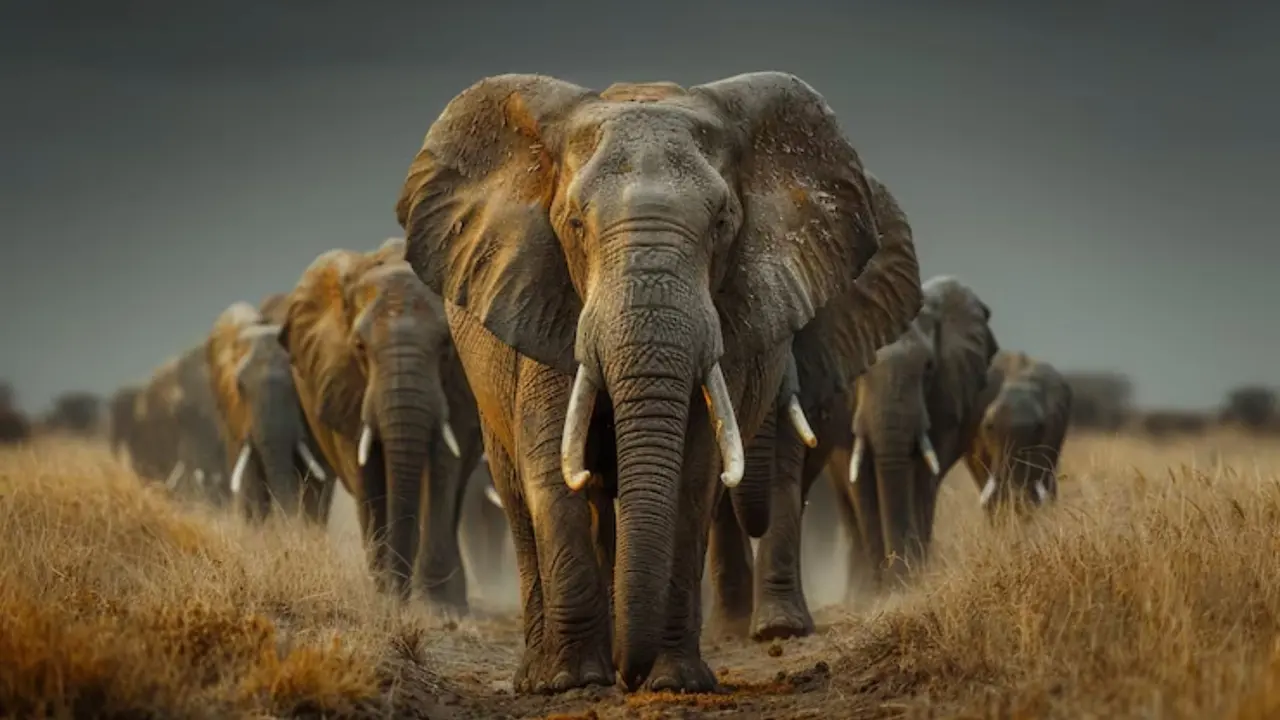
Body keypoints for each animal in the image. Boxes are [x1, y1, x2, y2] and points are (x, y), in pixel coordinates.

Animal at [279, 240, 485, 613]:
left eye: (445, 346)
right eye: (360, 347)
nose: (399, 599)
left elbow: (444, 466)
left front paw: (438, 609)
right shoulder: (342, 380)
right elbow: (365, 469)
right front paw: (385, 595)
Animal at [395, 72, 923, 693]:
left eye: (722, 224)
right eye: (574, 224)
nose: (630, 672)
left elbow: (693, 478)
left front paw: (675, 682)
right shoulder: (544, 300)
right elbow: (552, 470)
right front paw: (574, 682)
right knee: (522, 494)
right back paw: (544, 675)